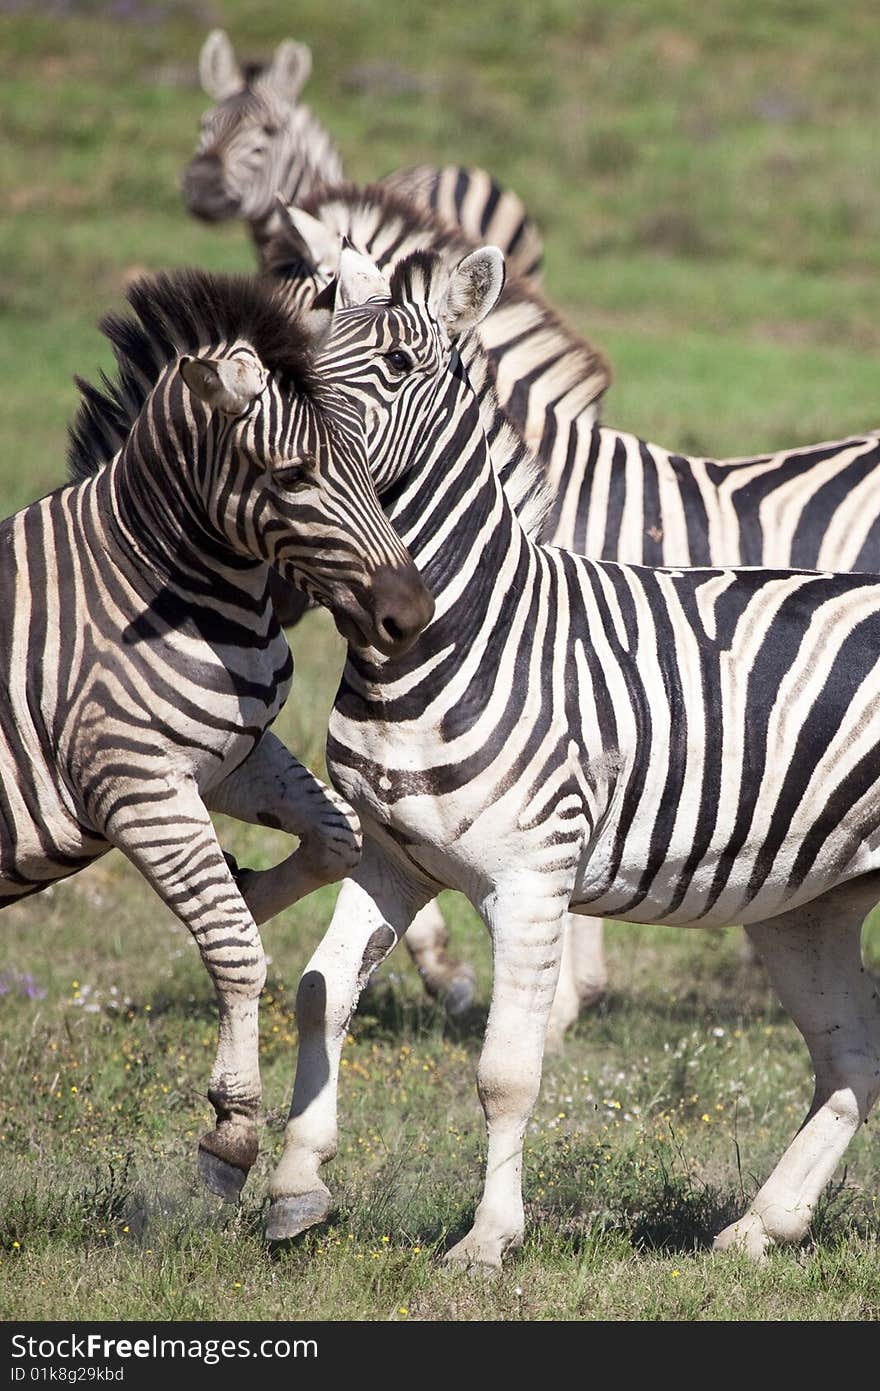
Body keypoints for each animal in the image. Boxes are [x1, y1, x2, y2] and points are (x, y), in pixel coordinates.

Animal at [6, 265, 433, 1201]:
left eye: (366, 463)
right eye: (292, 475)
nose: (410, 615)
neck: (150, 581)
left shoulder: (234, 755)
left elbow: (337, 839)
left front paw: (247, 884)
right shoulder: (134, 781)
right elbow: (237, 949)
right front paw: (232, 1133)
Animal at [261, 250, 878, 1274]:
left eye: (396, 366)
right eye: (302, 362)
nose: (282, 467)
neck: (441, 647)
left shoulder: (531, 878)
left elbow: (507, 1070)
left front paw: (486, 1240)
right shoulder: (390, 857)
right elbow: (319, 995)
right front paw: (295, 1185)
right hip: (807, 905)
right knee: (851, 1053)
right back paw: (763, 1224)